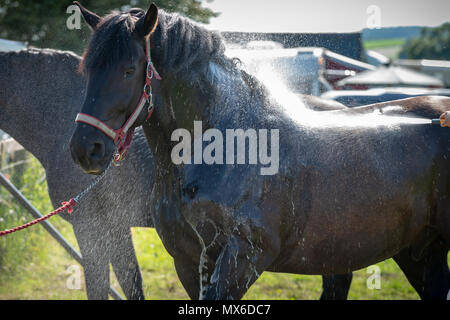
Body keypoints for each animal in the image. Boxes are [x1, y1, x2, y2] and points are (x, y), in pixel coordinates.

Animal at [68, 2, 448, 298]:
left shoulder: (244, 256)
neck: (227, 146)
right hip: (417, 251)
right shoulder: (188, 261)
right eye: (87, 68)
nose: (86, 149)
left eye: (129, 69)